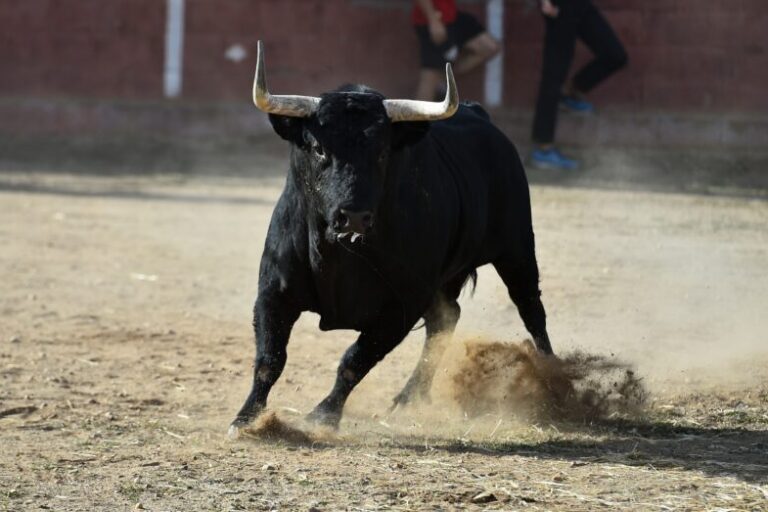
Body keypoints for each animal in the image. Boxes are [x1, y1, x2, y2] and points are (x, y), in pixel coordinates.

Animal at [229, 41, 553, 435]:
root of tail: (481, 117)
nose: (353, 216)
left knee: (531, 309)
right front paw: (246, 418)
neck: (340, 255)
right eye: (319, 149)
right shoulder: (274, 292)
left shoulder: (401, 306)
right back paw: (410, 397)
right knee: (447, 318)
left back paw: (556, 384)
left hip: (517, 247)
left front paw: (323, 415)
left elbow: (355, 360)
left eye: (382, 152)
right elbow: (269, 359)